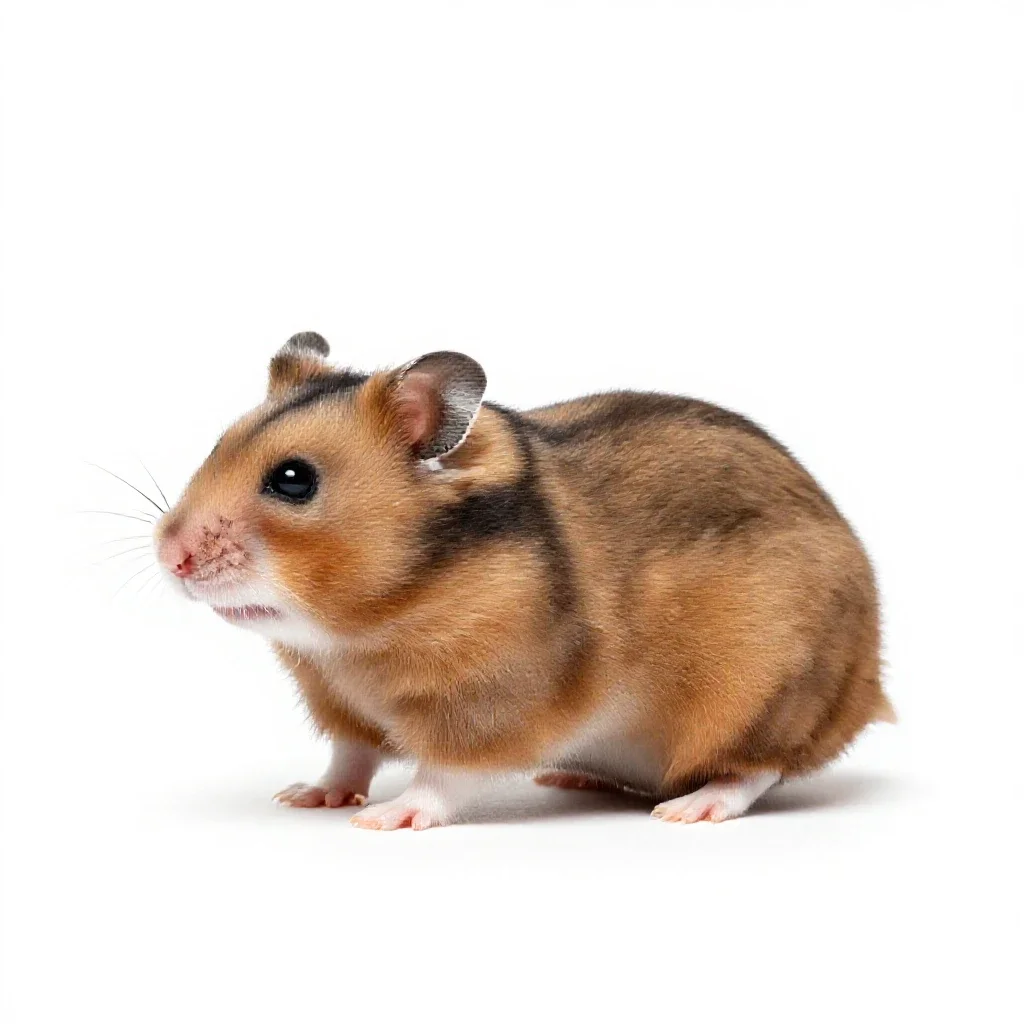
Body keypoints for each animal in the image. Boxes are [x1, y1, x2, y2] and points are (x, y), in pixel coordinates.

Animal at [155, 332, 893, 829]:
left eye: (293, 479)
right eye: (219, 444)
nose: (170, 558)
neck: (361, 631)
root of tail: (869, 688)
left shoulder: (490, 703)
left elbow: (443, 774)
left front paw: (383, 819)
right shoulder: (341, 704)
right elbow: (349, 756)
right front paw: (305, 797)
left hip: (764, 693)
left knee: (757, 767)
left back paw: (689, 809)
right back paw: (570, 777)